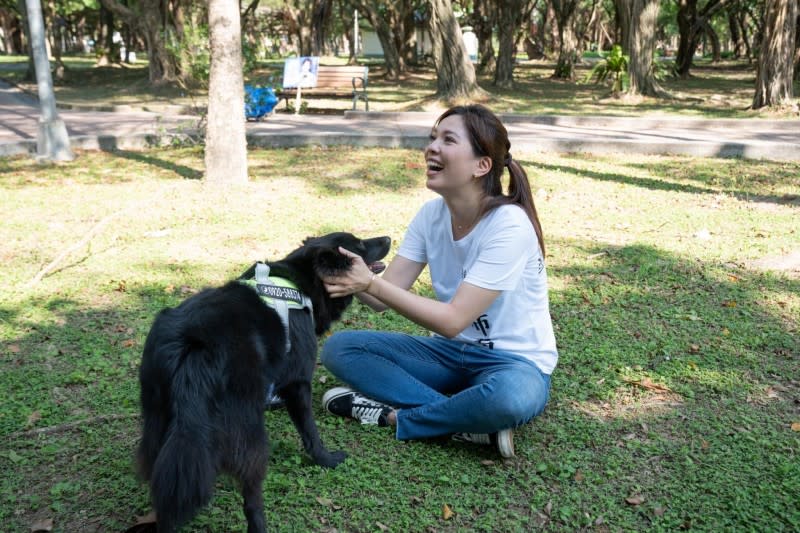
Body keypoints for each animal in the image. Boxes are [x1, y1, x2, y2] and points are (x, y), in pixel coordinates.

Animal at [138, 233, 394, 532]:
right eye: (360, 245)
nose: (389, 238)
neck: (304, 281)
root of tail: (195, 345)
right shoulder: (298, 382)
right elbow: (310, 431)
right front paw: (325, 459)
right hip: (249, 430)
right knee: (251, 489)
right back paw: (258, 523)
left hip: (159, 419)